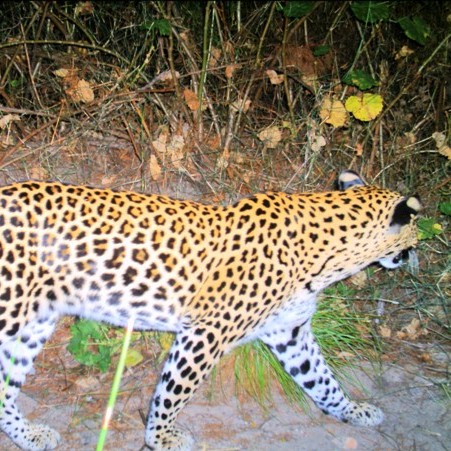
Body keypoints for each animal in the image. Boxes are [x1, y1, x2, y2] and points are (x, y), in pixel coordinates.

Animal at [0, 170, 422, 451]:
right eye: (416, 233)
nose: (417, 254)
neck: (327, 254)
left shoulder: (290, 333)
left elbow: (322, 379)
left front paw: (352, 410)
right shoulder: (207, 332)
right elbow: (173, 391)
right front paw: (161, 438)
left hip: (32, 325)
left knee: (5, 392)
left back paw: (30, 434)